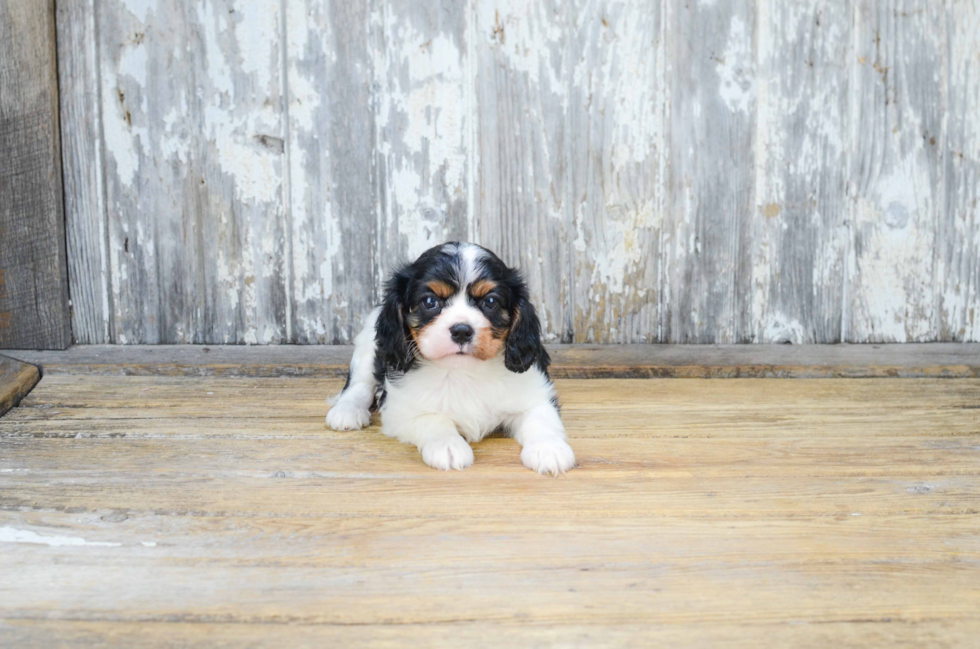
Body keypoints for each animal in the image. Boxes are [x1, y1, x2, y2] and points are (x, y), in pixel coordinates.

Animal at [330, 240, 576, 474]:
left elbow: (541, 419)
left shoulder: (535, 394)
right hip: (367, 346)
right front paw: (447, 445)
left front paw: (548, 449)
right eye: (430, 302)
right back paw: (347, 411)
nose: (461, 330)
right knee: (358, 384)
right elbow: (432, 418)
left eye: (490, 302)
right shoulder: (401, 409)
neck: (463, 371)